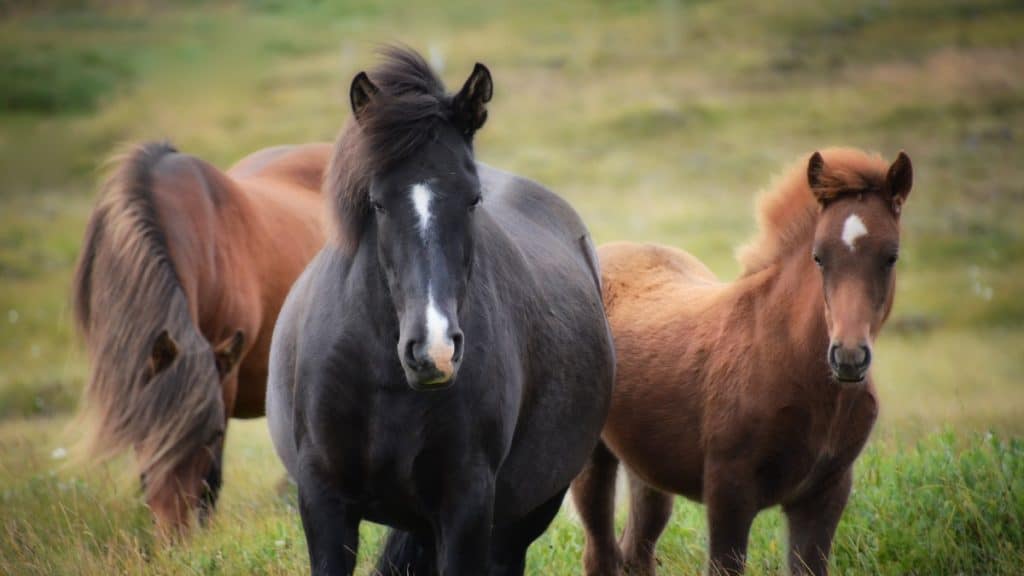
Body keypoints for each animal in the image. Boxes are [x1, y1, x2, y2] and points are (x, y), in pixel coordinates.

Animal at [266, 47, 614, 569]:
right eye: (377, 202)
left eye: (473, 199)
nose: (434, 351)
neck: (385, 380)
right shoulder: (324, 501)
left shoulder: (465, 506)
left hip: (524, 514)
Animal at [573, 148, 917, 573]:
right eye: (819, 257)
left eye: (891, 257)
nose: (849, 358)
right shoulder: (729, 493)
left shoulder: (825, 494)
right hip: (592, 459)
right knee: (600, 552)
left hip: (646, 466)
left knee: (636, 550)